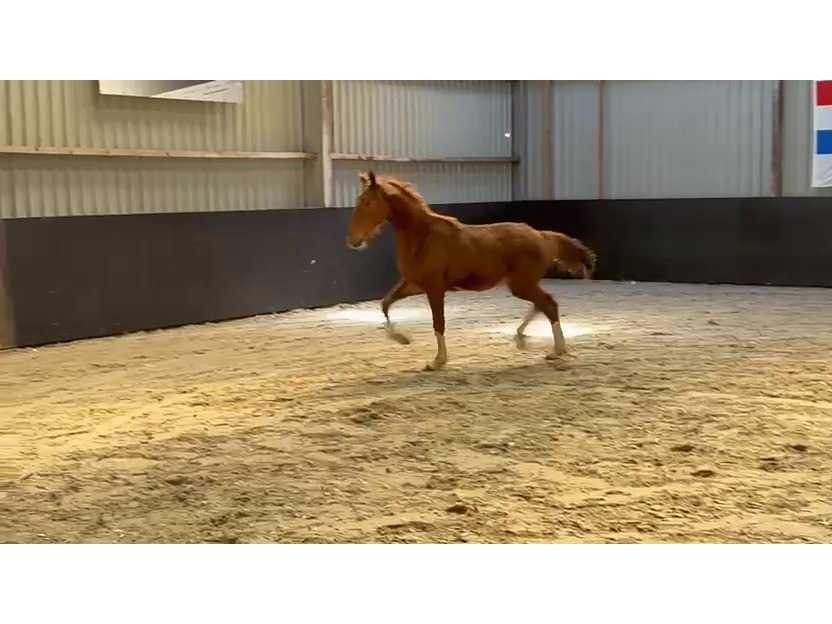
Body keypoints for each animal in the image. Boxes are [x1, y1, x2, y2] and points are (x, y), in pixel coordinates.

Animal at [345, 171, 596, 371]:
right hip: (521, 284)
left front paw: (437, 361)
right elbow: (385, 303)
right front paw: (402, 338)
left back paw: (556, 350)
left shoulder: (435, 288)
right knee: (541, 304)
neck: (423, 237)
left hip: (521, 284)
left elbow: (438, 323)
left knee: (549, 304)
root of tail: (542, 235)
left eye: (368, 202)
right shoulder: (414, 284)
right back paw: (522, 338)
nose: (352, 240)